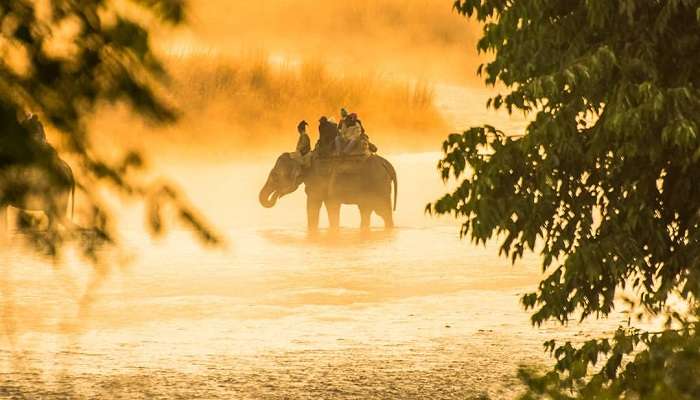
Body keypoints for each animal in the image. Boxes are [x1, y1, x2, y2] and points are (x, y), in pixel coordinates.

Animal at [260, 152, 396, 230]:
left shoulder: (317, 181)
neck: (302, 157)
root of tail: (386, 163)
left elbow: (315, 206)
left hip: (378, 186)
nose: (277, 195)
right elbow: (329, 206)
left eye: (275, 176)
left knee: (382, 212)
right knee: (366, 211)